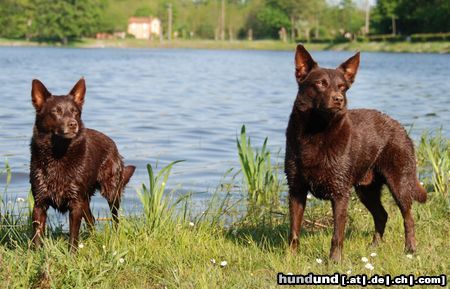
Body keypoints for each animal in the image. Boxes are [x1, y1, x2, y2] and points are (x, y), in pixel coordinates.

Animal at [30, 79, 135, 250]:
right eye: (56, 111)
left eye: (75, 112)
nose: (73, 124)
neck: (58, 153)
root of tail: (112, 143)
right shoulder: (39, 203)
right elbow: (37, 236)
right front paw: (35, 254)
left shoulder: (75, 204)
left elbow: (73, 236)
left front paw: (72, 255)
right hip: (85, 199)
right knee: (91, 220)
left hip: (111, 193)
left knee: (115, 218)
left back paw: (115, 237)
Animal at [284, 44, 426, 260]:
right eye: (320, 83)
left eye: (342, 87)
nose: (338, 99)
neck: (316, 132)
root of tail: (399, 126)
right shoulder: (296, 189)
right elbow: (294, 231)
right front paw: (291, 258)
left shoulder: (340, 193)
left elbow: (337, 235)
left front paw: (334, 261)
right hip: (365, 189)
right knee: (382, 214)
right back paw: (374, 246)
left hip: (399, 182)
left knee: (408, 217)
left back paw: (410, 249)